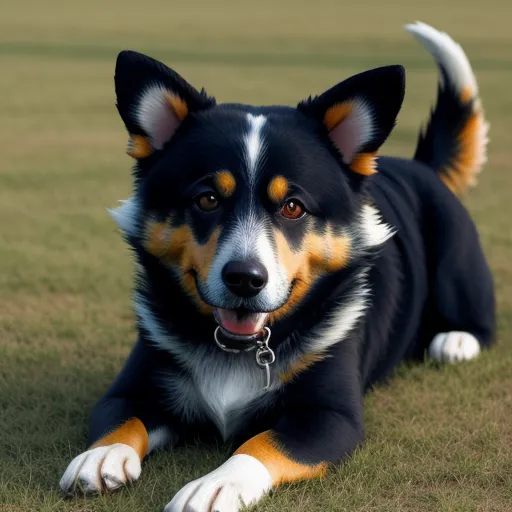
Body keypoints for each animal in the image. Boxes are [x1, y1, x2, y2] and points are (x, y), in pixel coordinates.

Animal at [58, 22, 494, 510]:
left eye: (292, 207)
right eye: (207, 199)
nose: (245, 279)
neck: (237, 349)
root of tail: (422, 167)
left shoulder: (327, 416)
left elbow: (261, 442)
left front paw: (217, 485)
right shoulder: (133, 385)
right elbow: (119, 416)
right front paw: (103, 454)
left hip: (456, 261)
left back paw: (455, 339)